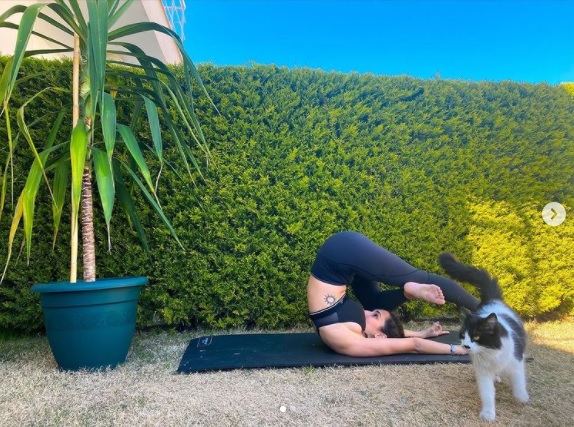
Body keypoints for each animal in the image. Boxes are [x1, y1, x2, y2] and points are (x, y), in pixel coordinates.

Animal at [439, 252, 529, 422]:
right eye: (463, 335)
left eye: (476, 336)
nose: (466, 345)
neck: (490, 352)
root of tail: (493, 300)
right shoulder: (483, 372)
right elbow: (487, 394)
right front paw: (488, 413)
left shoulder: (515, 361)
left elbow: (519, 382)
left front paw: (522, 397)